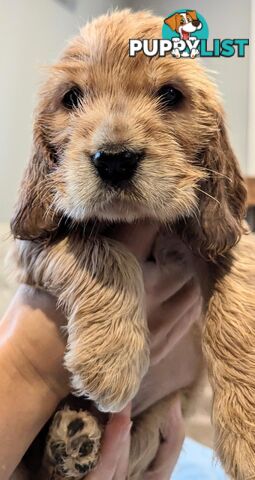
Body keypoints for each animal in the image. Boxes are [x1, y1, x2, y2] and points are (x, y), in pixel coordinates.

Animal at [10, 8, 255, 480]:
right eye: (71, 97)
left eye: (171, 94)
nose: (114, 160)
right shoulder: (31, 243)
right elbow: (103, 250)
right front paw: (112, 357)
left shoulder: (224, 235)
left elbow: (237, 301)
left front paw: (248, 432)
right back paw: (70, 441)